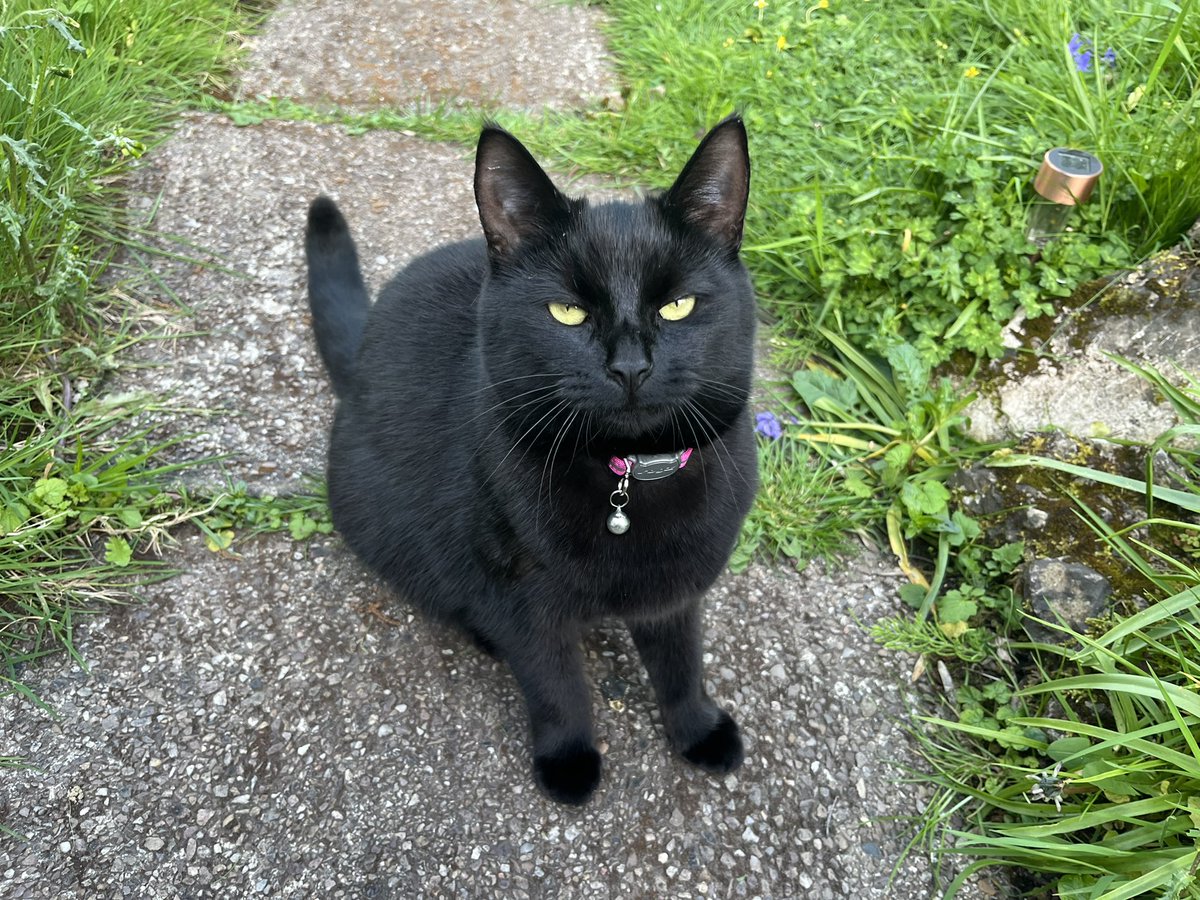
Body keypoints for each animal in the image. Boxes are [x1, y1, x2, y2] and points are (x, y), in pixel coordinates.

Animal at [309, 116, 758, 806]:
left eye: (677, 306)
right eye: (567, 312)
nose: (630, 367)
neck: (627, 479)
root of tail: (358, 361)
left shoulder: (675, 589)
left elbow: (683, 662)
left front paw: (698, 729)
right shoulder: (520, 600)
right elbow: (556, 686)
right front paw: (569, 760)